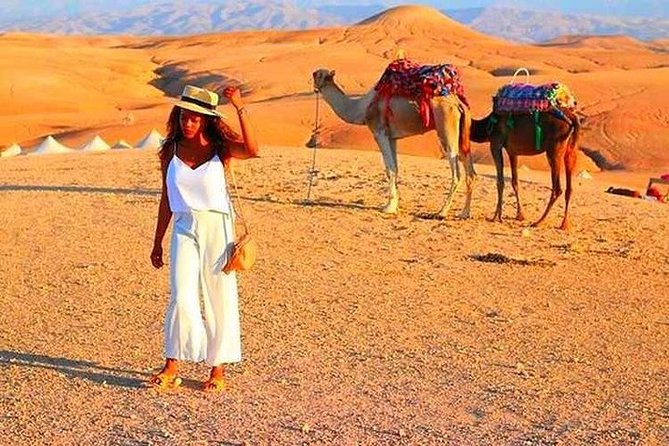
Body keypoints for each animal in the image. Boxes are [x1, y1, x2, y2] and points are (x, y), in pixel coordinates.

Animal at [312, 69, 476, 218]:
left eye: (318, 74)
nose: (312, 74)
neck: (362, 108)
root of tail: (458, 103)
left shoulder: (380, 133)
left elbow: (389, 169)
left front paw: (388, 207)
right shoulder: (392, 137)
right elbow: (395, 168)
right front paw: (394, 205)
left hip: (447, 128)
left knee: (457, 173)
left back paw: (441, 212)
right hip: (462, 135)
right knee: (470, 172)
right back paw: (464, 213)